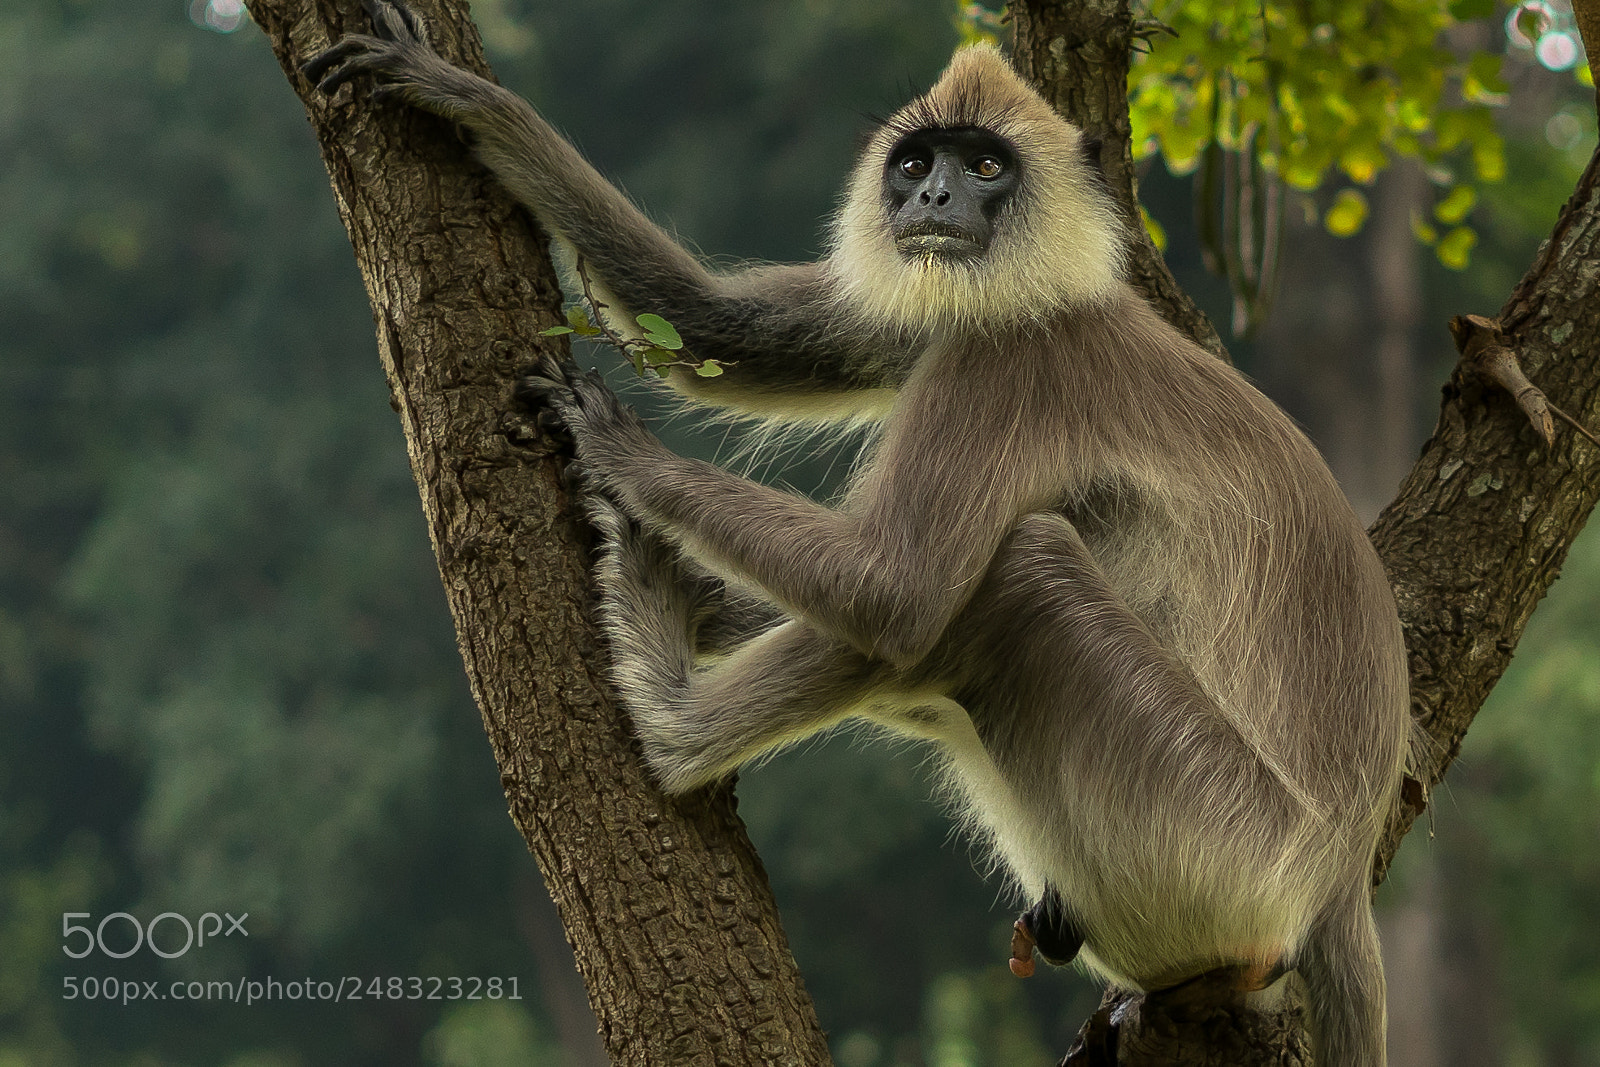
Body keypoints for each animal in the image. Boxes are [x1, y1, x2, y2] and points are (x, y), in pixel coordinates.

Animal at [307, 5, 1412, 1062]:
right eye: (917, 164)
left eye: (984, 167)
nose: (931, 202)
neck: (1060, 296)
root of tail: (1335, 882)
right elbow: (715, 328)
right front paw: (467, 99)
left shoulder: (1007, 360)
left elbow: (896, 590)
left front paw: (629, 458)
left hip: (1216, 838)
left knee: (1012, 572)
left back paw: (671, 725)